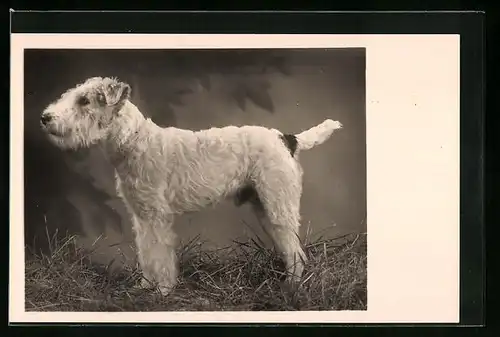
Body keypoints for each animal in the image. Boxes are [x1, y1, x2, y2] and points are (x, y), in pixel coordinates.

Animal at [40, 76, 344, 294]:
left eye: (84, 100)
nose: (45, 118)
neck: (134, 140)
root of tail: (287, 139)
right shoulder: (142, 217)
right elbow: (146, 253)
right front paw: (145, 285)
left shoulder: (156, 217)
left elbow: (160, 255)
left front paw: (162, 290)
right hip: (266, 209)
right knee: (290, 249)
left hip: (278, 205)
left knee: (297, 253)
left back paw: (291, 288)